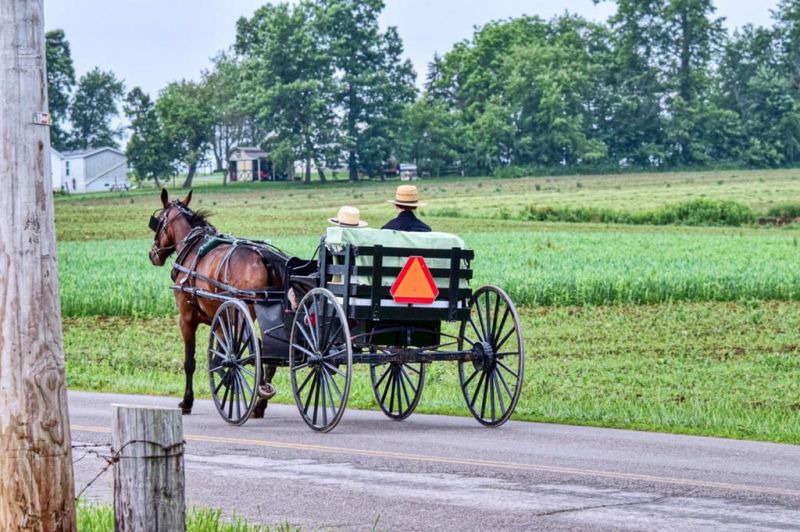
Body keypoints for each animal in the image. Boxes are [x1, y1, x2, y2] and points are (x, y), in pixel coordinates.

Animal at [148, 189, 284, 418]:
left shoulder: (187, 319)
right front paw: (228, 383)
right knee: (270, 353)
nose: (153, 254)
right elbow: (217, 358)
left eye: (159, 222)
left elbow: (191, 362)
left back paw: (257, 393)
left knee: (256, 350)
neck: (193, 247)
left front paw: (187, 401)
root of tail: (264, 257)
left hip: (243, 313)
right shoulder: (220, 319)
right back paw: (259, 403)